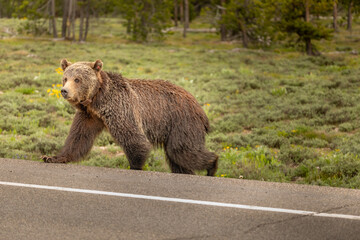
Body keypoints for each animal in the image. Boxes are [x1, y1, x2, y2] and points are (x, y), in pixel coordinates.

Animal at [42, 59, 217, 175]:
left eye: (77, 79)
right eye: (65, 78)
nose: (64, 90)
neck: (97, 99)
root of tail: (199, 107)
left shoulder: (120, 108)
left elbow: (134, 138)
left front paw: (135, 166)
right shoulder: (90, 116)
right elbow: (78, 139)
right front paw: (52, 157)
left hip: (182, 122)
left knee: (182, 151)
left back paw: (212, 165)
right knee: (177, 158)